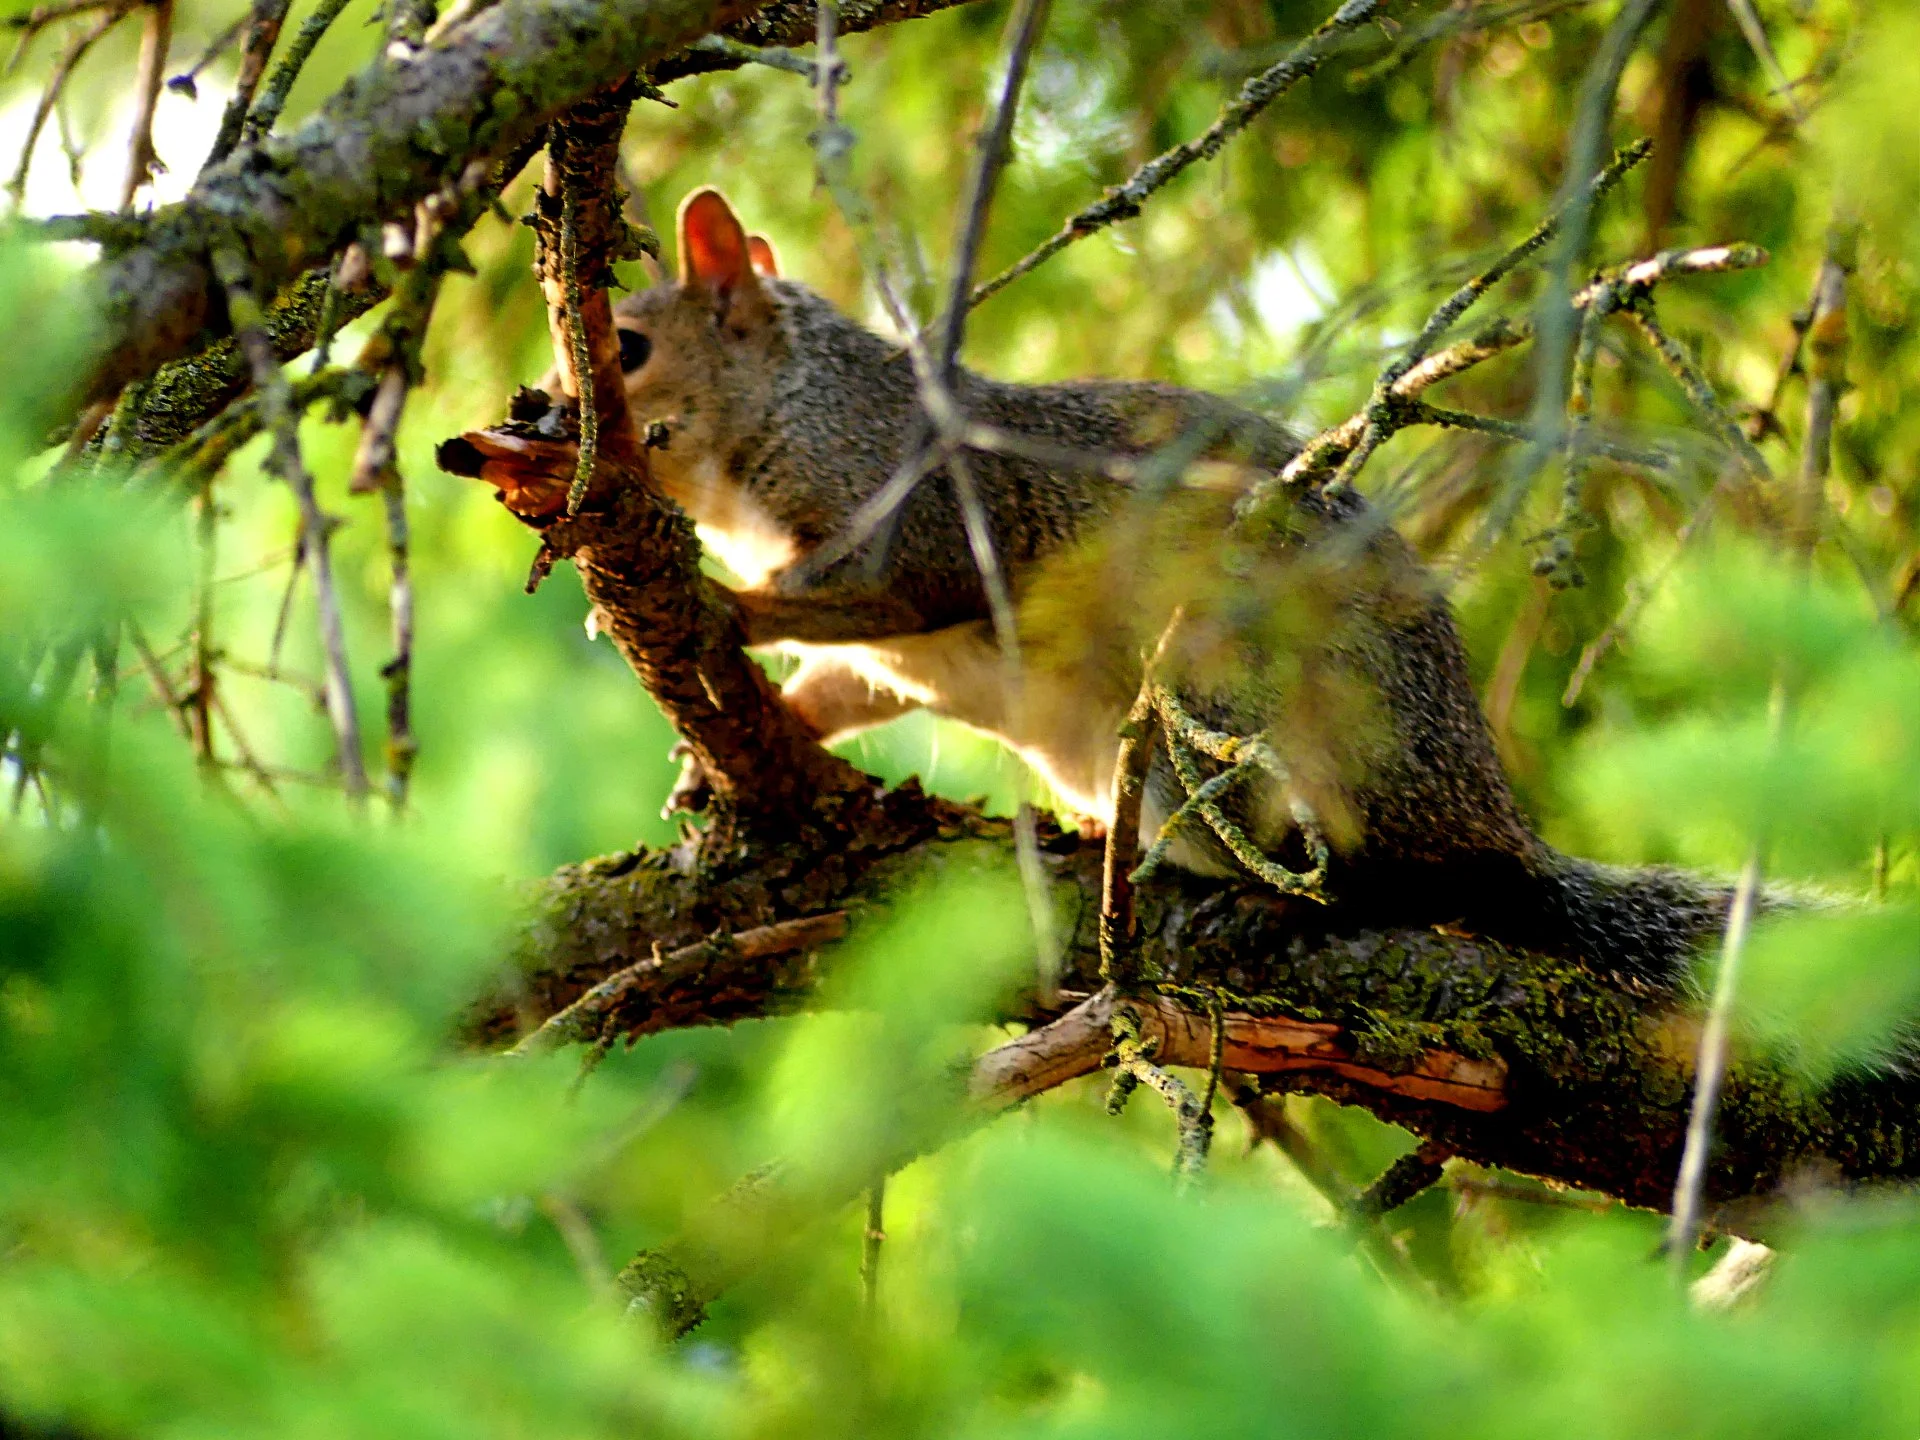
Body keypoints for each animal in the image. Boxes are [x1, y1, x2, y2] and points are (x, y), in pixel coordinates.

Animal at [497, 188, 1735, 986]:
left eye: (631, 347)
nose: (540, 415)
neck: (787, 408)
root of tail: (1484, 820)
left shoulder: (914, 506)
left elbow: (881, 587)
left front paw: (726, 610)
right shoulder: (897, 659)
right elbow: (845, 686)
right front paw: (720, 760)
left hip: (1230, 703)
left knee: (1376, 875)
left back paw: (1264, 885)